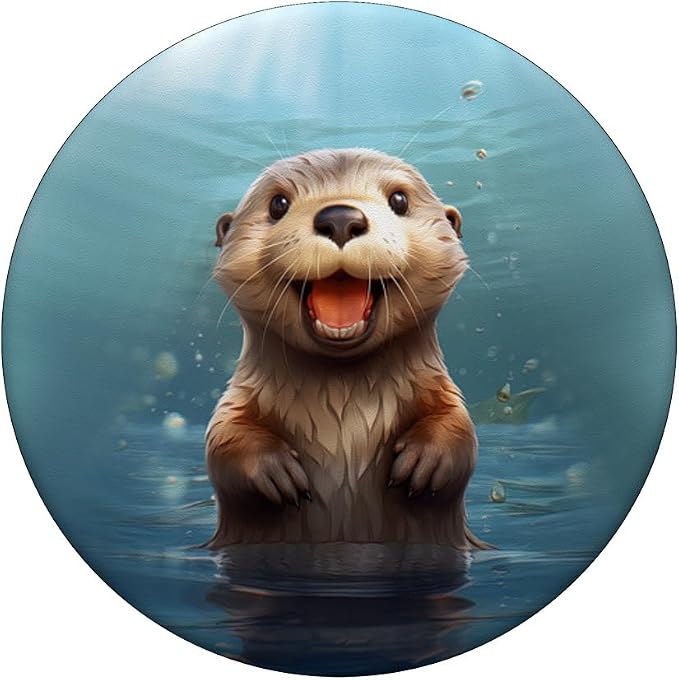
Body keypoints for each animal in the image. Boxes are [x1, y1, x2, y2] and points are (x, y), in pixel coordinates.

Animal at [206, 148, 484, 548]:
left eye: (400, 200)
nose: (340, 218)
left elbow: (460, 428)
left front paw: (424, 460)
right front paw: (275, 470)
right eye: (278, 204)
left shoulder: (437, 387)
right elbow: (223, 440)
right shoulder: (240, 397)